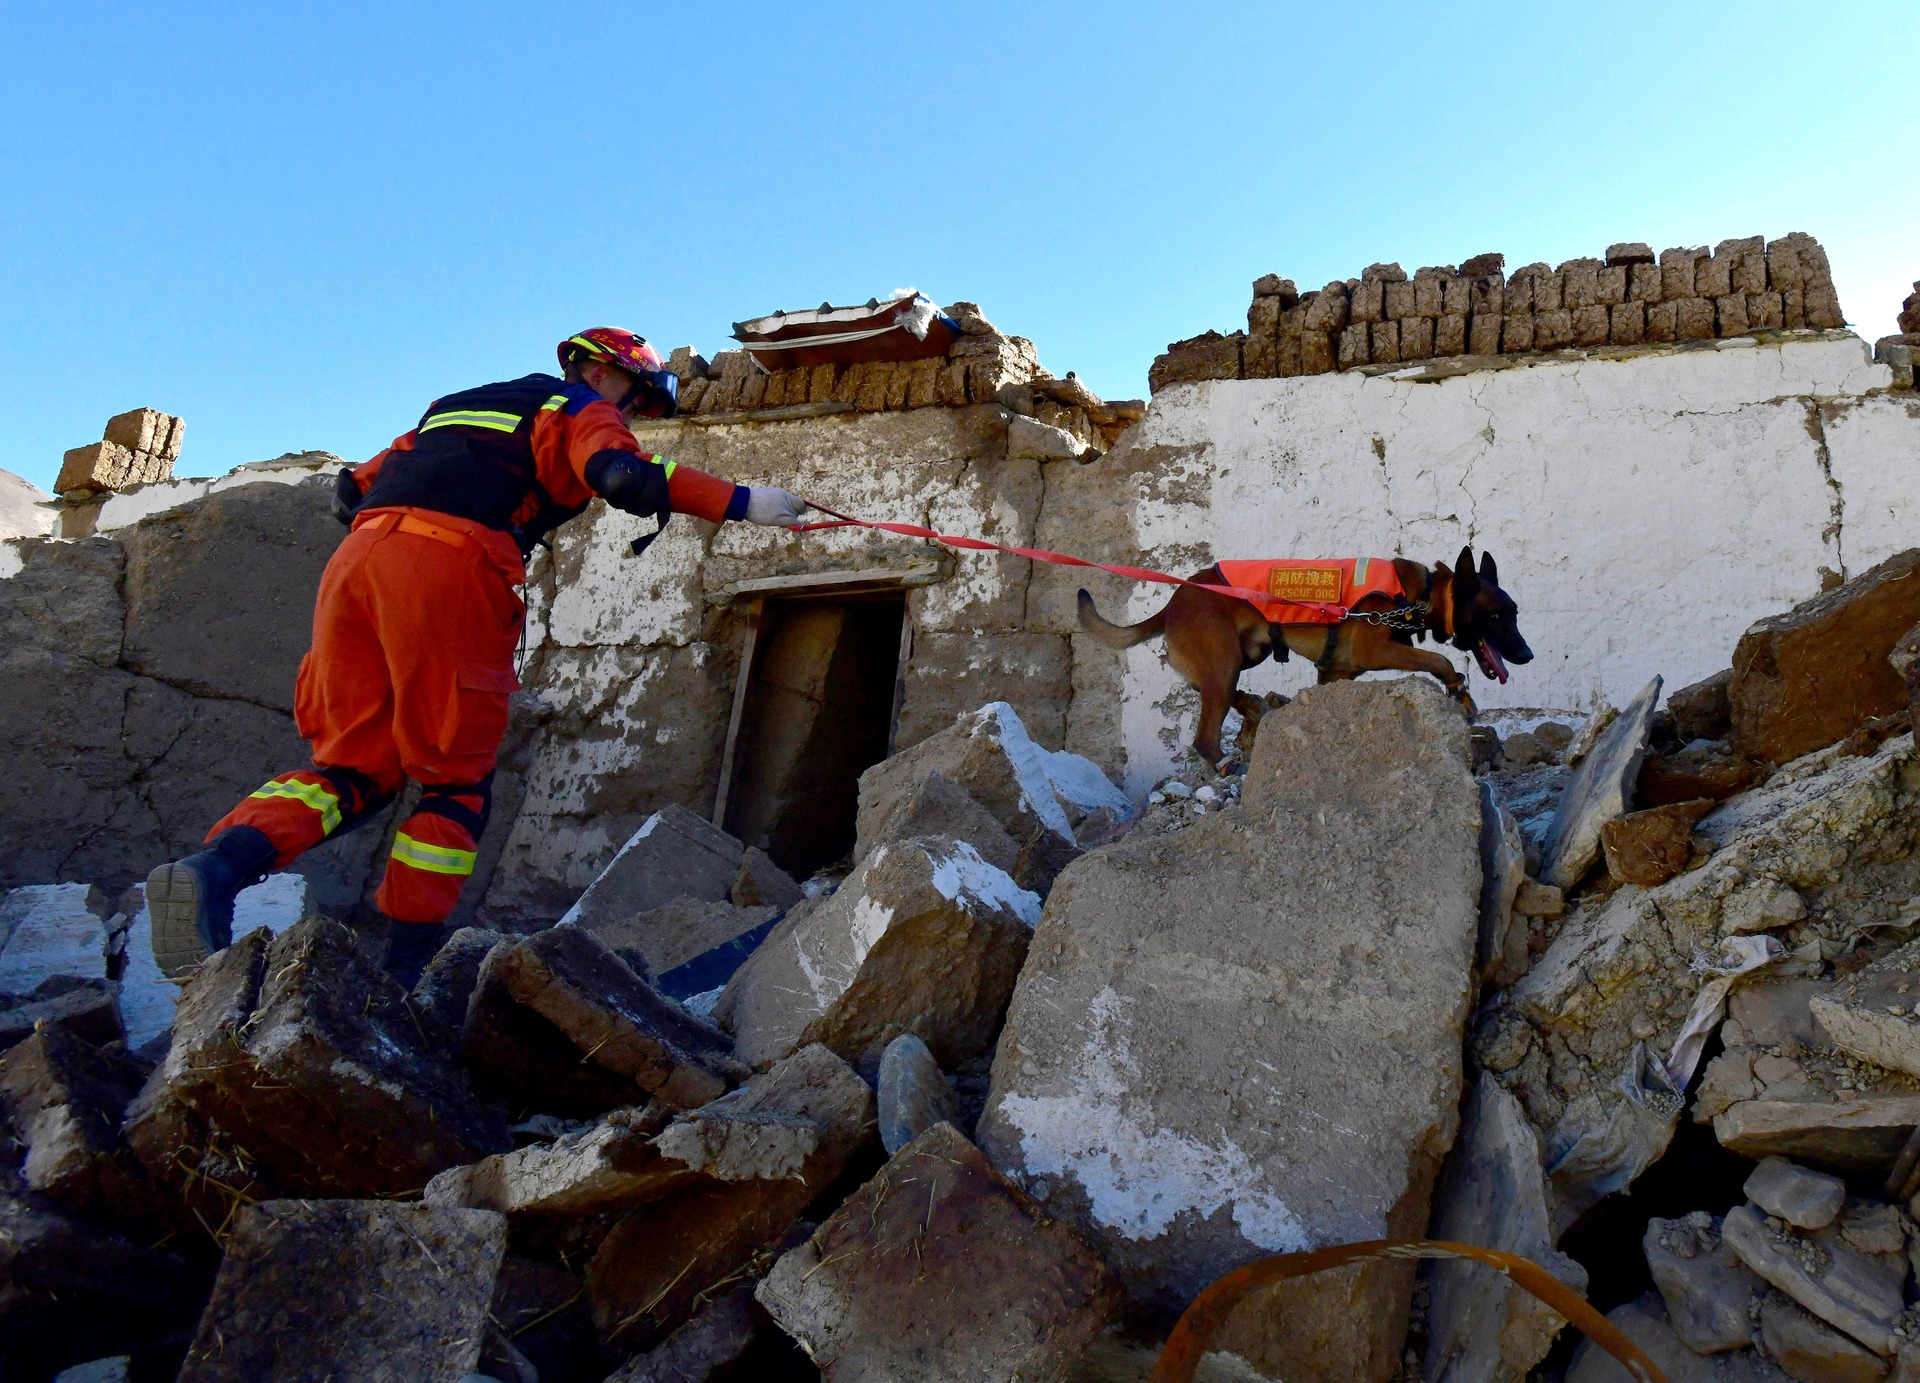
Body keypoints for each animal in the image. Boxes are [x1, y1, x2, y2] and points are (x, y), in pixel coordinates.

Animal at [1090, 541, 1536, 760]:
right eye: (1496, 617)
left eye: (1515, 613)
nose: (1527, 656)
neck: (1421, 595)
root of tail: (1174, 601)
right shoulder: (1375, 650)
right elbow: (1439, 659)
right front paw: (1459, 691)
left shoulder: (1334, 674)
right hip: (1226, 660)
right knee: (1204, 734)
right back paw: (1225, 762)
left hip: (1249, 652)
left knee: (1213, 689)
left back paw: (1252, 705)